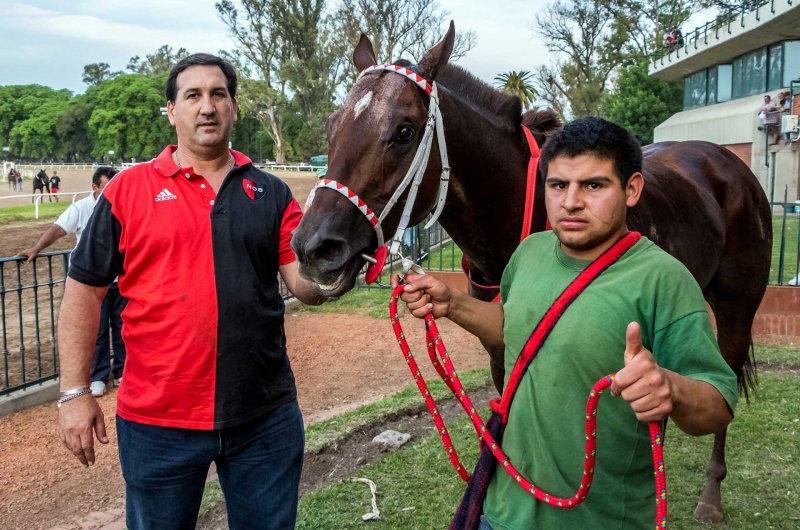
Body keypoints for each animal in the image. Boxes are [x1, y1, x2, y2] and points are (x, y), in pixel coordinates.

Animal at [294, 23, 776, 520]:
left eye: (404, 131)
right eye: (332, 127)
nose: (314, 247)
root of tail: (727, 162)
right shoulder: (501, 346)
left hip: (739, 304)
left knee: (724, 381)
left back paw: (710, 495)